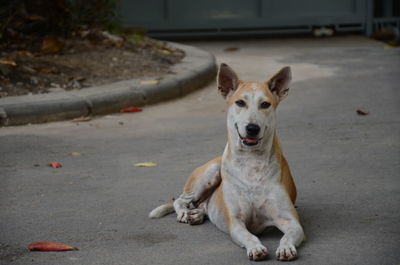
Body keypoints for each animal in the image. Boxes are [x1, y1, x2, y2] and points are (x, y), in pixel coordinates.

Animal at [148, 63, 304, 260]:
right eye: (240, 102)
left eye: (265, 104)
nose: (252, 128)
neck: (251, 161)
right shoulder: (236, 222)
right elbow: (248, 235)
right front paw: (256, 247)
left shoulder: (290, 220)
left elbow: (289, 234)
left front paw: (285, 247)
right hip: (211, 171)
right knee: (180, 200)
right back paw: (184, 212)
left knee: (200, 205)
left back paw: (196, 214)